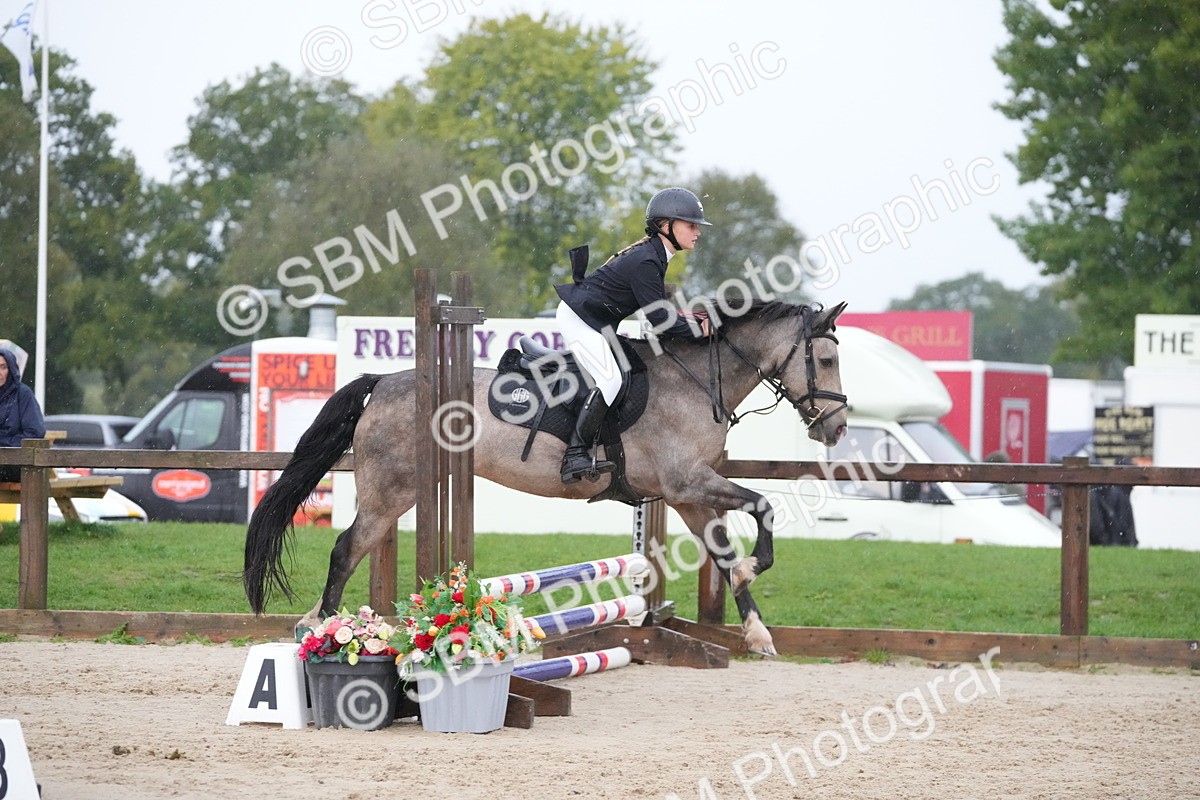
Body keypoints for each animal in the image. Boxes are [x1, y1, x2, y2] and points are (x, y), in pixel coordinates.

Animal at [244, 299, 849, 656]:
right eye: (825, 359)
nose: (837, 427)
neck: (695, 382)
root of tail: (383, 380)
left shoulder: (688, 497)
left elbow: (724, 553)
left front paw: (757, 630)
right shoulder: (687, 483)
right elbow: (763, 507)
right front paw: (753, 568)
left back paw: (315, 624)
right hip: (392, 491)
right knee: (347, 548)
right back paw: (325, 631)